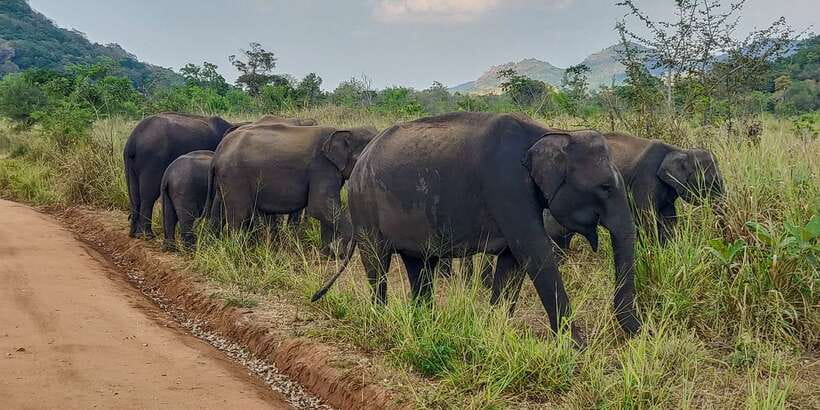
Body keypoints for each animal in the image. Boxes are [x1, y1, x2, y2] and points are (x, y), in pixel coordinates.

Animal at [205, 121, 378, 251]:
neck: (345, 130)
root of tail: (218, 152)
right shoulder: (322, 168)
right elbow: (319, 207)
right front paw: (340, 252)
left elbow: (326, 210)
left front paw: (329, 253)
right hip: (235, 176)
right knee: (239, 215)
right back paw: (239, 253)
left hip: (225, 179)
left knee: (218, 211)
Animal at [312, 112, 642, 343]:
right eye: (605, 187)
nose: (639, 333)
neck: (548, 134)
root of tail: (361, 160)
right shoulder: (506, 186)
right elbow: (534, 251)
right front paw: (576, 348)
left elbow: (512, 261)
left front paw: (496, 331)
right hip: (365, 206)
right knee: (377, 263)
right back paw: (381, 319)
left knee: (419, 265)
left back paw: (426, 324)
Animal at [546, 131, 724, 249]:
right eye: (709, 182)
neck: (679, 150)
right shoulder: (646, 179)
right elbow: (646, 216)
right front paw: (651, 252)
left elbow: (669, 219)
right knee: (557, 231)